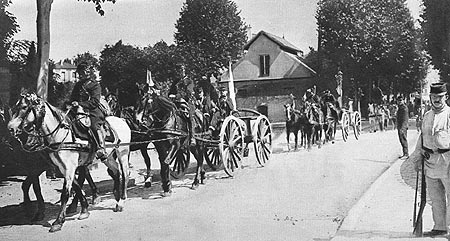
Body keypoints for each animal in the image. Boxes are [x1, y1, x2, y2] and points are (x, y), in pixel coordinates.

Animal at [7, 92, 131, 232]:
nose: (10, 128)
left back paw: (121, 202)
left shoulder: (68, 167)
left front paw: (58, 221)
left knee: (125, 174)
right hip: (107, 157)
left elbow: (65, 193)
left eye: (24, 107)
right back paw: (116, 196)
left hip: (122, 153)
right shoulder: (63, 168)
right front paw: (84, 210)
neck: (60, 134)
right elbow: (76, 186)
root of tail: (122, 120)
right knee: (115, 171)